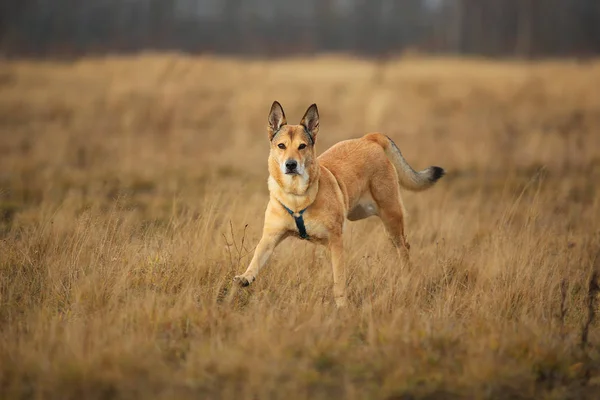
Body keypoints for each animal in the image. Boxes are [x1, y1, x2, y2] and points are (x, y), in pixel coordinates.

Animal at [234, 101, 446, 308]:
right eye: (281, 145)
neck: (297, 197)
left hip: (391, 218)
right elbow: (256, 258)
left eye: (302, 146)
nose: (291, 164)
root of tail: (369, 139)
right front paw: (245, 277)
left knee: (404, 248)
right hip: (362, 212)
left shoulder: (335, 241)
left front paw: (342, 305)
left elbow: (339, 279)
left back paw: (407, 279)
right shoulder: (271, 237)